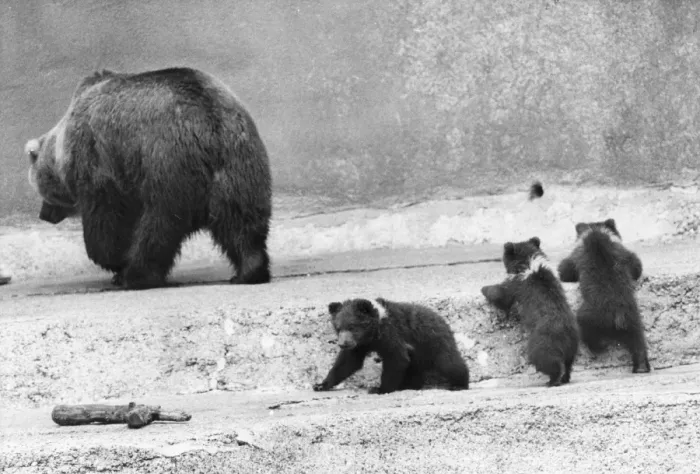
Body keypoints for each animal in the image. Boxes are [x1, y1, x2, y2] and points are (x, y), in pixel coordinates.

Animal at [25, 67, 272, 289]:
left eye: (41, 189)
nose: (44, 214)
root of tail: (208, 123)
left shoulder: (101, 161)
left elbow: (107, 221)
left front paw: (114, 262)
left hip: (168, 165)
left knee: (158, 228)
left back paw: (136, 276)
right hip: (238, 165)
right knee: (241, 222)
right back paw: (248, 271)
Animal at [313, 298, 470, 394]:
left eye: (352, 327)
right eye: (338, 328)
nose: (343, 344)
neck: (374, 333)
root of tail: (443, 320)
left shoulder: (393, 335)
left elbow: (396, 359)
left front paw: (379, 388)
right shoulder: (360, 345)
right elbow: (347, 363)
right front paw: (320, 384)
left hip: (433, 342)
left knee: (449, 363)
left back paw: (459, 384)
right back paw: (410, 385)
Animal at [481, 237, 579, 387]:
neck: (529, 263)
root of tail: (566, 333)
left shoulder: (516, 284)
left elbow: (502, 295)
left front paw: (484, 289)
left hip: (543, 342)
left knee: (545, 360)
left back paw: (552, 380)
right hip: (572, 346)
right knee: (569, 363)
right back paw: (565, 377)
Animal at [557, 218, 650, 373]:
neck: (597, 233)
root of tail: (618, 316)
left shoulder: (577, 256)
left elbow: (566, 268)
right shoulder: (623, 254)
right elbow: (636, 265)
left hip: (593, 314)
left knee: (586, 328)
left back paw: (600, 347)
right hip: (633, 317)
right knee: (638, 340)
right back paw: (641, 367)